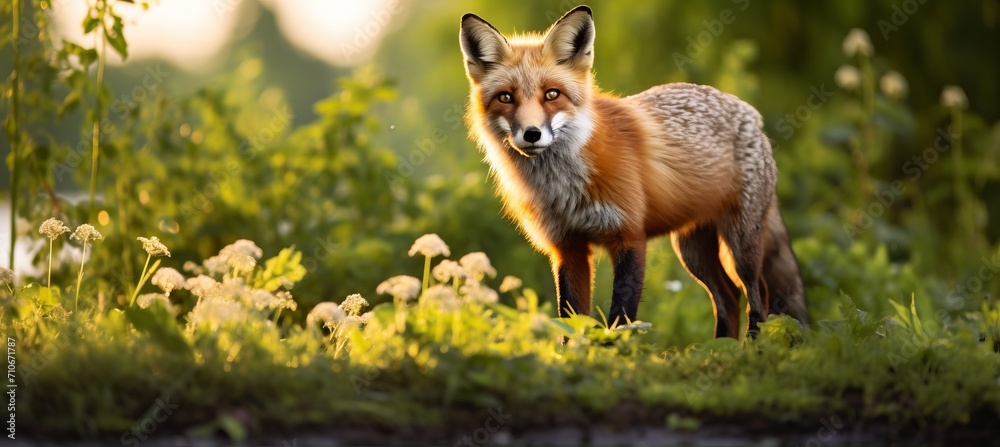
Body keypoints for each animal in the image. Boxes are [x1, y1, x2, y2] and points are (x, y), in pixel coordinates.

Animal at [459, 6, 808, 338]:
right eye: (506, 97)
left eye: (552, 94)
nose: (531, 134)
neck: (563, 187)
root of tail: (749, 112)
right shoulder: (567, 247)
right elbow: (572, 321)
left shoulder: (629, 236)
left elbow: (620, 318)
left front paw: (614, 355)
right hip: (692, 250)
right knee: (729, 298)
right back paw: (719, 350)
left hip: (740, 245)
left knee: (757, 297)